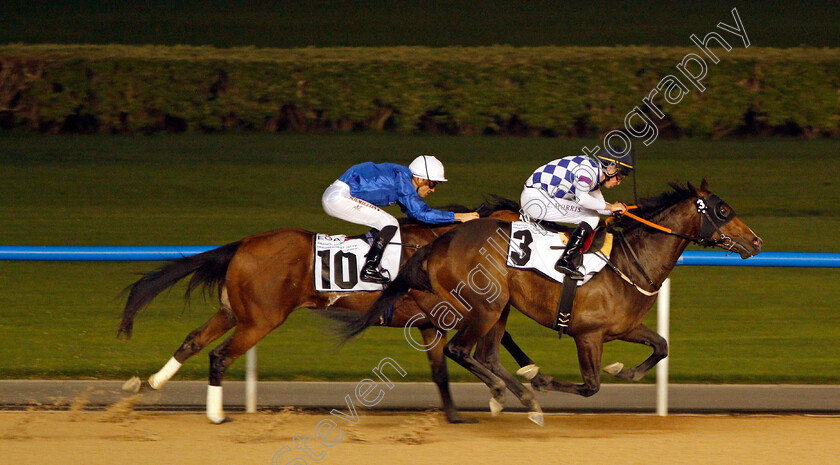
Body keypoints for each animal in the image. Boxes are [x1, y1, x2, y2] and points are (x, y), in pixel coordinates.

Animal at [118, 197, 552, 424]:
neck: (441, 245)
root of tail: (243, 245)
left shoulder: (429, 323)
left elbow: (442, 371)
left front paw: (458, 413)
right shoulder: (445, 309)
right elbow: (491, 339)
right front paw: (527, 380)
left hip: (233, 312)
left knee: (193, 341)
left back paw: (150, 384)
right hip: (260, 319)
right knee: (220, 356)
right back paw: (215, 415)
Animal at [338, 180, 764, 424]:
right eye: (723, 210)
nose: (757, 241)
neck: (629, 262)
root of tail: (438, 243)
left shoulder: (624, 327)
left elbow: (661, 346)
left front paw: (625, 371)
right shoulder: (587, 334)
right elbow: (590, 386)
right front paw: (542, 379)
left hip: (500, 307)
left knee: (485, 353)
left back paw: (518, 394)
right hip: (484, 305)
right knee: (459, 350)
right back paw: (511, 392)